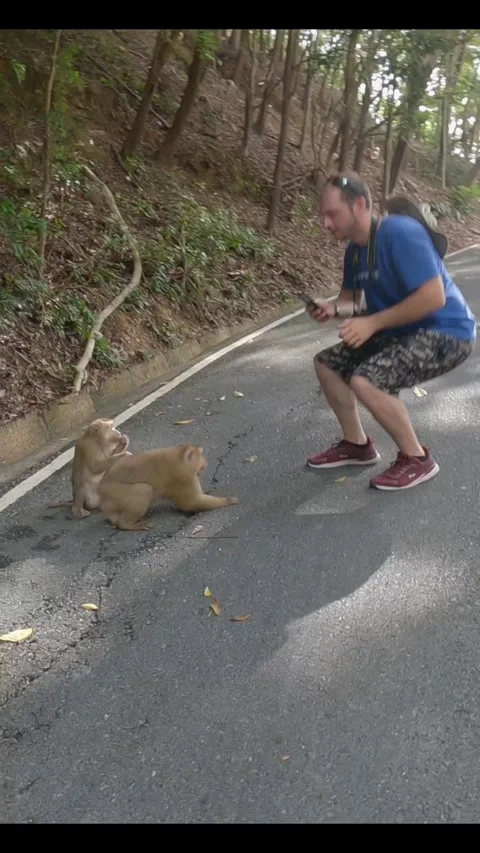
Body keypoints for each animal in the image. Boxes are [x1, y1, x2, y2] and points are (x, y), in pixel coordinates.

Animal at [97, 442, 239, 532]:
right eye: (201, 455)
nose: (206, 462)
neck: (178, 456)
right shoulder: (183, 476)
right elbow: (191, 503)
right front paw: (226, 500)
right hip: (116, 494)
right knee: (143, 489)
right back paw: (126, 524)